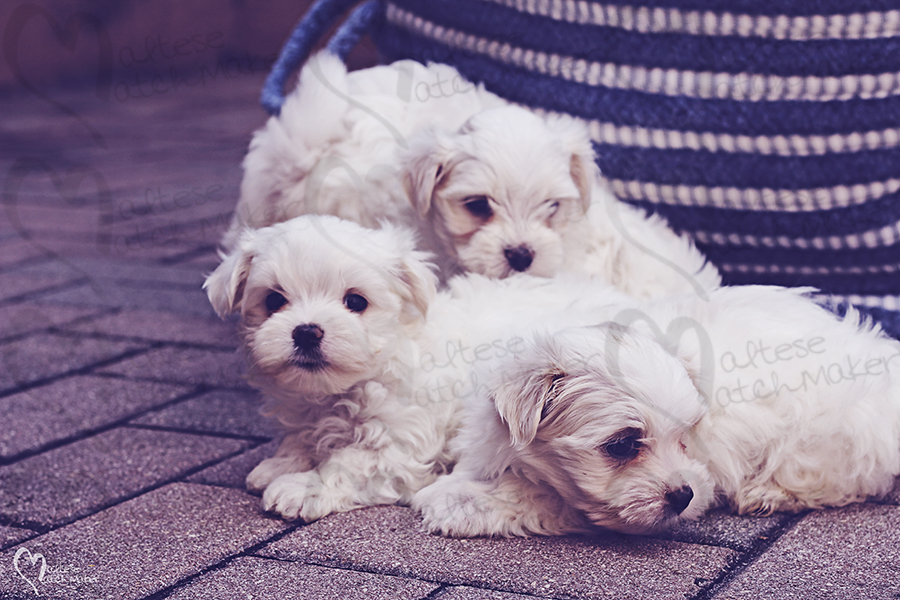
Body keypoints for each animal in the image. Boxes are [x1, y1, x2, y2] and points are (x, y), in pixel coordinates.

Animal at [205, 214, 442, 520]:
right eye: (273, 300)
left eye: (356, 301)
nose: (307, 332)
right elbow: (301, 437)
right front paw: (281, 463)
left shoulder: (400, 443)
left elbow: (349, 462)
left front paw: (299, 487)